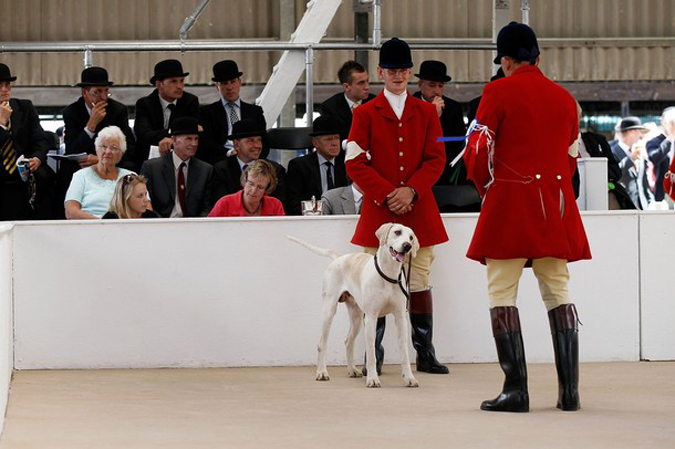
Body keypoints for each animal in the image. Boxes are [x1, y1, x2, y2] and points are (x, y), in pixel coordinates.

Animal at [288, 222, 420, 386]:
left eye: (411, 237)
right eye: (397, 232)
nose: (407, 246)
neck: (389, 274)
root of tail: (339, 258)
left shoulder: (400, 318)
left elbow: (404, 352)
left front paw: (409, 378)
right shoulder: (371, 318)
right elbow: (371, 353)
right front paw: (372, 378)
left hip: (356, 317)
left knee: (348, 341)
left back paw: (352, 370)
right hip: (329, 311)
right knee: (322, 344)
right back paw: (322, 372)